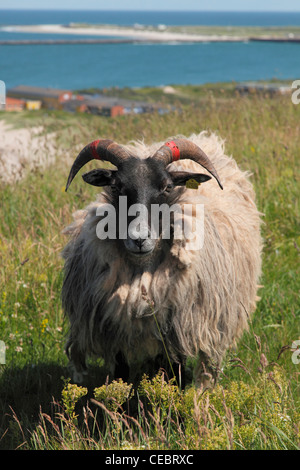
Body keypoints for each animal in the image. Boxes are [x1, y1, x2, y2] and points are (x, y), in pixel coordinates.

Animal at [62, 130, 262, 388]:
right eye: (116, 187)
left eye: (167, 187)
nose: (139, 238)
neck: (141, 274)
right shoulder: (115, 331)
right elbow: (120, 375)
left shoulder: (177, 330)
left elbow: (174, 373)